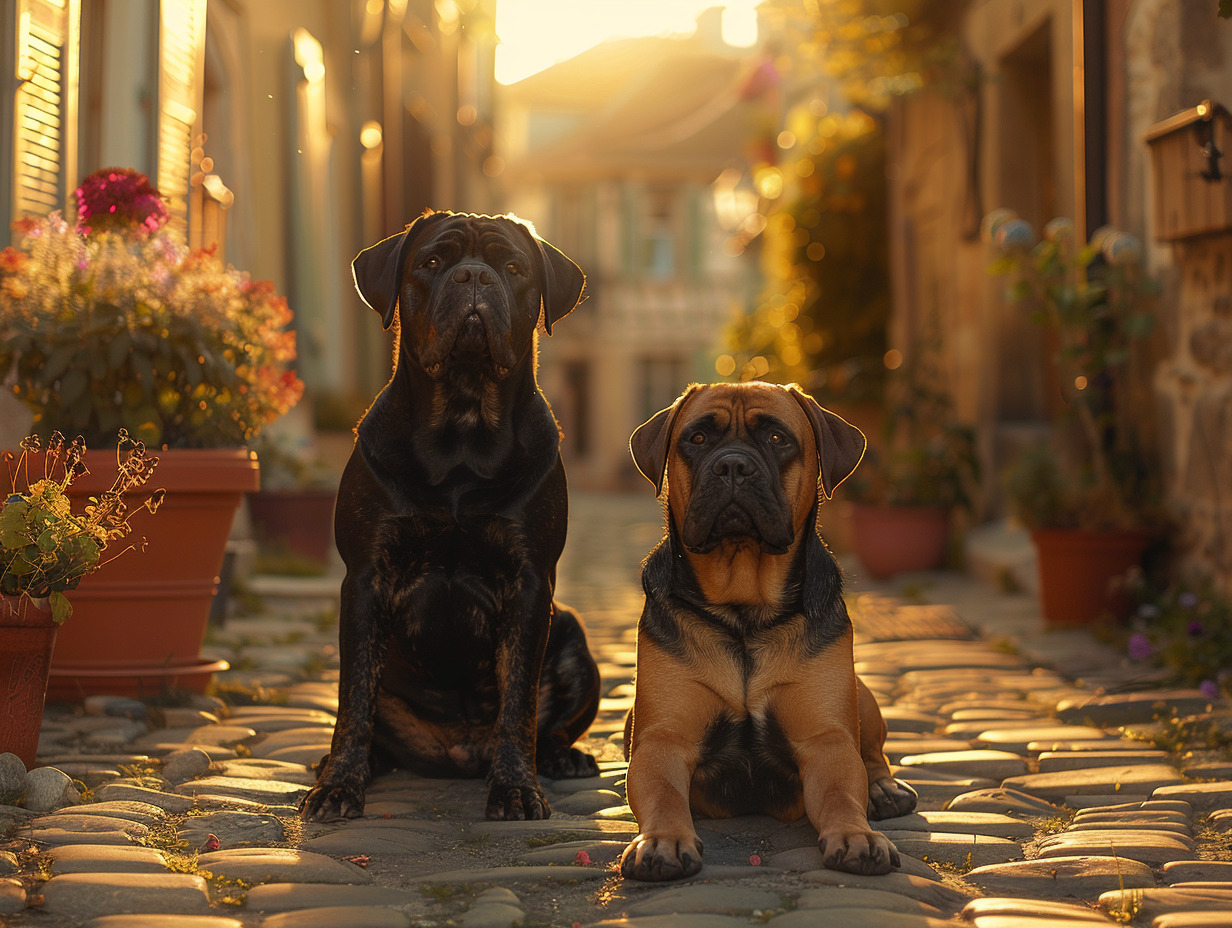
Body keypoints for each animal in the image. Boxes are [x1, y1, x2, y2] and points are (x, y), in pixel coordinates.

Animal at [303, 208, 601, 818]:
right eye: (433, 261)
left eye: (512, 268)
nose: (473, 277)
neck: (462, 429)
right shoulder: (366, 577)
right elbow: (353, 700)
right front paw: (339, 785)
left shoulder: (530, 582)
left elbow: (518, 705)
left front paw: (516, 789)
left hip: (574, 640)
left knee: (549, 725)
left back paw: (564, 757)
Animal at [620, 379, 921, 877]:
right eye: (697, 438)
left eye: (778, 438)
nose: (733, 465)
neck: (745, 609)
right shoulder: (663, 740)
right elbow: (663, 794)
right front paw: (662, 841)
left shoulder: (825, 739)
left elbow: (842, 791)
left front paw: (857, 835)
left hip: (861, 694)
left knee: (872, 754)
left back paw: (884, 790)